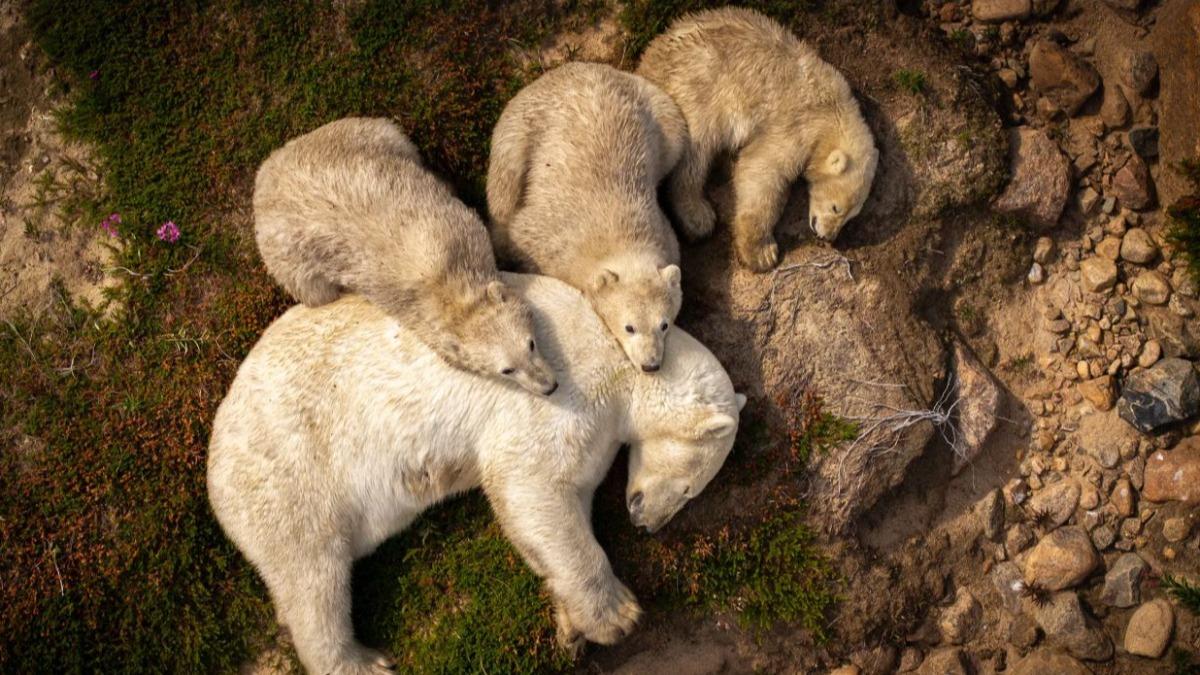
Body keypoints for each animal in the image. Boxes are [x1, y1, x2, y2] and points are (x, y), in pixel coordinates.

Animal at [207, 273, 745, 674]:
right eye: (690, 487)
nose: (647, 524)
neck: (621, 354)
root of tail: (214, 456)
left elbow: (552, 513)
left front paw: (570, 627)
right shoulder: (566, 388)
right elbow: (531, 483)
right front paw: (616, 616)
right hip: (291, 471)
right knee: (313, 576)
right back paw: (362, 661)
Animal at [253, 117, 556, 396]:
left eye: (530, 344)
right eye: (507, 370)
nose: (549, 387)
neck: (445, 282)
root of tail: (264, 174)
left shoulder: (461, 226)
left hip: (351, 136)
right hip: (288, 258)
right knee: (315, 291)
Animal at [487, 62, 689, 373]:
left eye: (664, 324)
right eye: (629, 327)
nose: (650, 365)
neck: (620, 230)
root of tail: (582, 66)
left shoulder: (665, 233)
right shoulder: (548, 237)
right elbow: (519, 236)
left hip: (659, 111)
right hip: (523, 124)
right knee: (504, 184)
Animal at [636, 7, 879, 271]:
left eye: (851, 216)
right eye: (836, 207)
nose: (827, 236)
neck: (832, 110)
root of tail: (647, 64)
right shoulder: (796, 124)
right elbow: (760, 170)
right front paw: (762, 253)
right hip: (696, 87)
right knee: (695, 151)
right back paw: (698, 216)